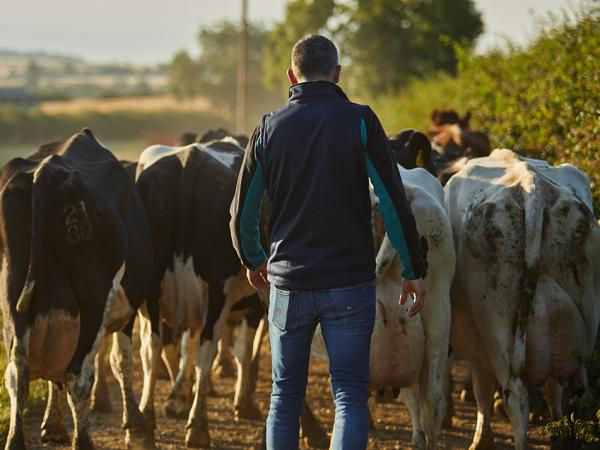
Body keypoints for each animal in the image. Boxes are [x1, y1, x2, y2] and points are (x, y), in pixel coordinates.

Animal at [0, 129, 155, 450]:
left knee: (17, 372)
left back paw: (15, 440)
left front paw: (51, 425)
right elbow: (121, 360)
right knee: (78, 374)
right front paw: (135, 426)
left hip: (12, 293)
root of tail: (48, 168)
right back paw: (83, 441)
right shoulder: (126, 313)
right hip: (93, 298)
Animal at [446, 149, 600, 448]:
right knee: (569, 386)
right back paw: (560, 437)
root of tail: (533, 186)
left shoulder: (470, 336)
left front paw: (483, 439)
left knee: (515, 394)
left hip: (497, 326)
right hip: (579, 317)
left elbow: (482, 388)